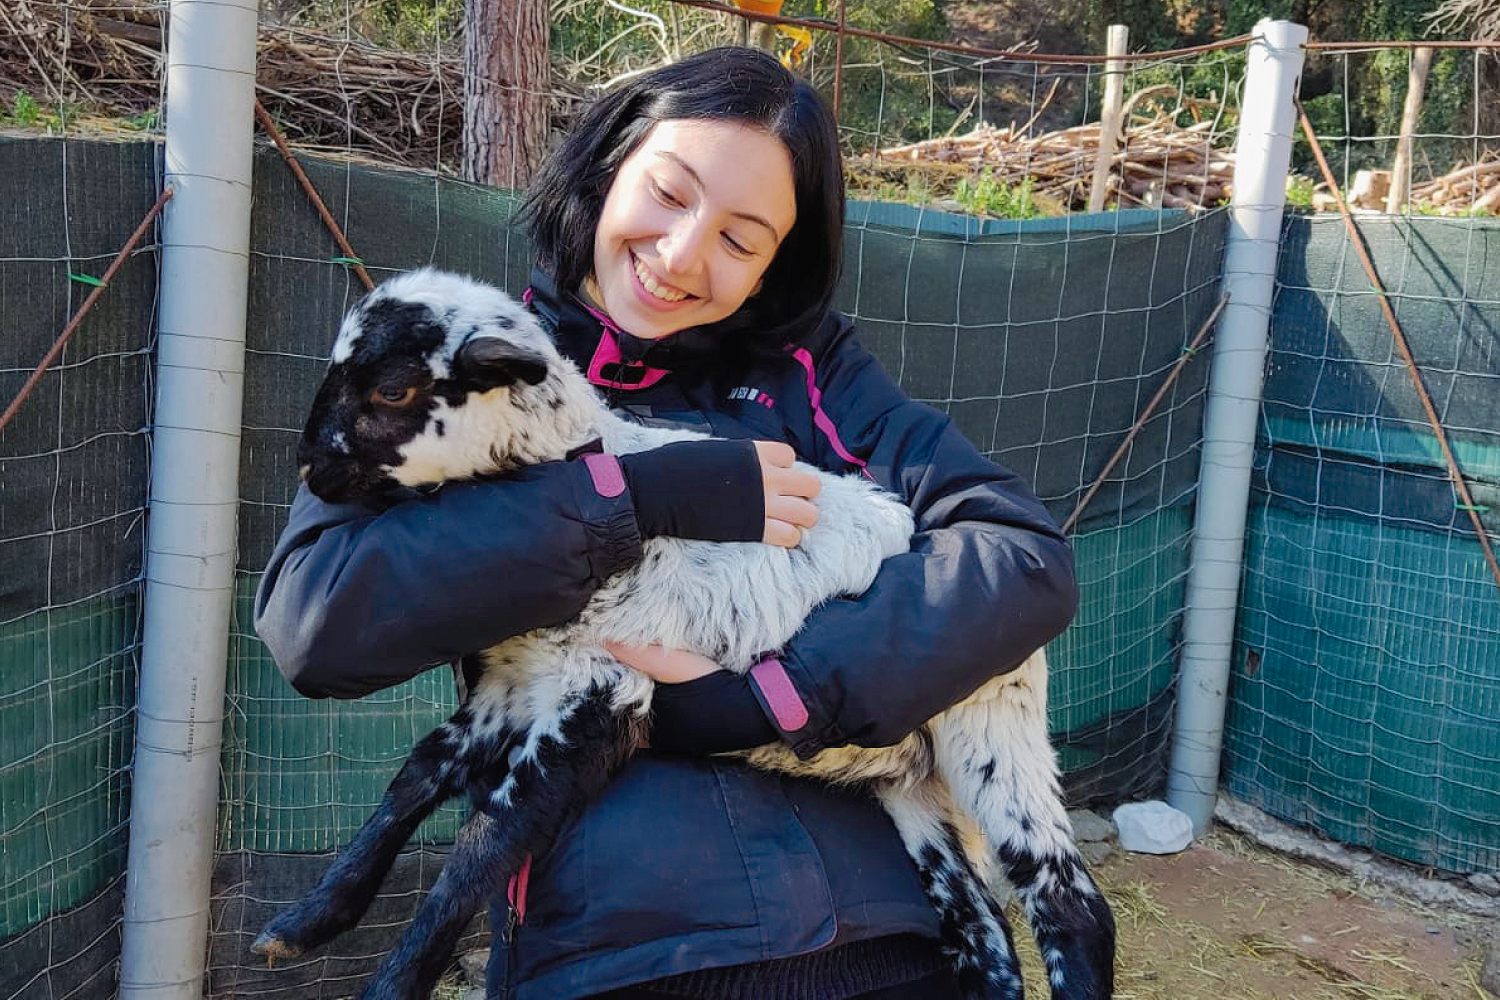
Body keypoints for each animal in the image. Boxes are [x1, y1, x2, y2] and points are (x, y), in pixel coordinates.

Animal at [255, 268, 1116, 1000]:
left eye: (392, 388)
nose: (308, 468)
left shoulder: (603, 696)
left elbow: (482, 850)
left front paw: (389, 982)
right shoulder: (510, 687)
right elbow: (411, 782)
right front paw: (301, 925)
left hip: (992, 728)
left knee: (1069, 904)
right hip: (913, 784)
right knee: (980, 920)